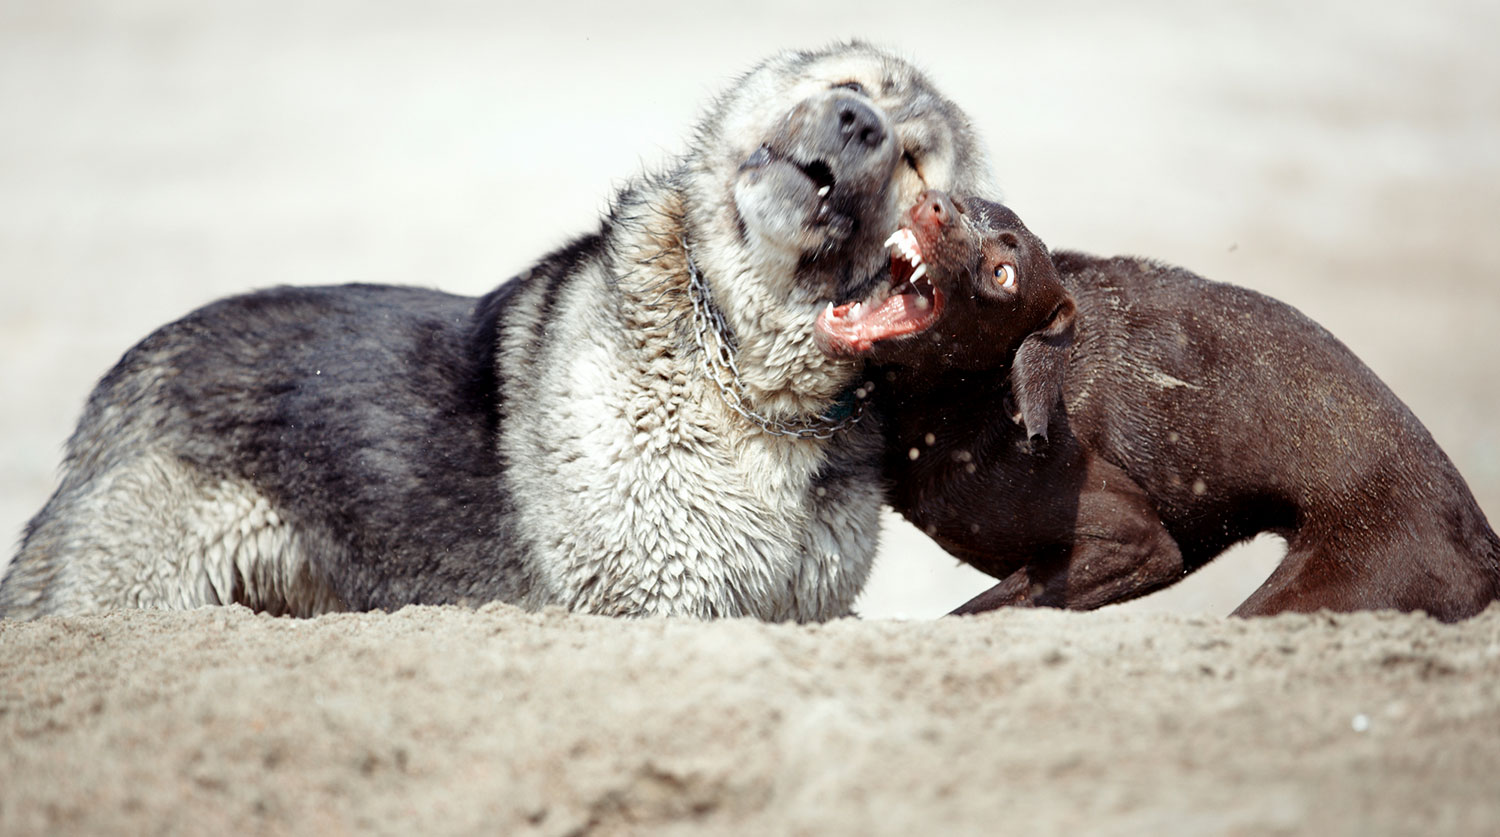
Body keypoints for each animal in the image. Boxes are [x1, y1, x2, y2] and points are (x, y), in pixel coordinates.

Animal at [2, 45, 996, 624]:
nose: (857, 124)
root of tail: (115, 386)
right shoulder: (652, 602)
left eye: (914, 164)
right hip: (131, 587)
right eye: (852, 90)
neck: (747, 374)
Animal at [822, 192, 1500, 624]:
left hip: (1314, 595)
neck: (977, 395)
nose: (934, 202)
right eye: (964, 201)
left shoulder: (1136, 540)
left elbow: (973, 614)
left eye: (1003, 273)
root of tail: (1481, 541)